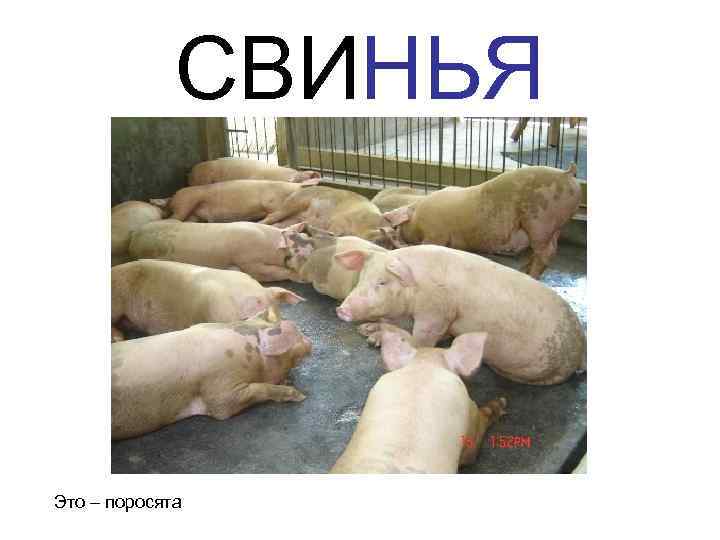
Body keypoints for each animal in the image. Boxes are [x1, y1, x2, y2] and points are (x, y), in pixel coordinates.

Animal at [150, 178, 320, 223]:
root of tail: (172, 197)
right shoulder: (272, 201)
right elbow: (272, 214)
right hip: (187, 200)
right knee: (174, 217)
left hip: (193, 214)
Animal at [334, 245, 585, 385]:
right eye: (361, 278)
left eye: (382, 282)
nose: (342, 310)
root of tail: (579, 348)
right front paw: (366, 332)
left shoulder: (435, 312)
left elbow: (420, 339)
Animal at [382, 164, 581, 278]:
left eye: (399, 226)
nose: (392, 239)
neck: (418, 215)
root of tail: (567, 174)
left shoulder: (436, 232)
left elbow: (430, 244)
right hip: (554, 225)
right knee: (550, 249)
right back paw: (524, 269)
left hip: (539, 221)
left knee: (546, 252)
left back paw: (529, 275)